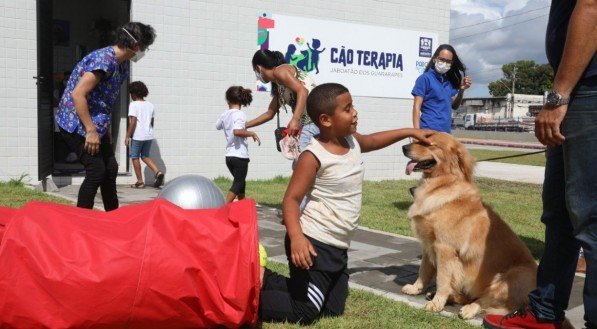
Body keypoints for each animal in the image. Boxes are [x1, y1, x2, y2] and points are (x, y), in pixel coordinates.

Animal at [400, 133, 536, 318]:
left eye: (429, 144)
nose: (403, 147)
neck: (441, 185)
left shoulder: (445, 249)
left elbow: (442, 279)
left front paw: (437, 303)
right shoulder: (428, 245)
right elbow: (424, 271)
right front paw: (416, 289)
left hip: (512, 277)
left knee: (485, 301)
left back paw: (469, 308)